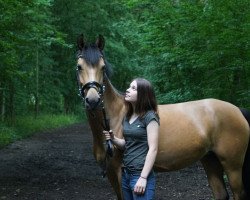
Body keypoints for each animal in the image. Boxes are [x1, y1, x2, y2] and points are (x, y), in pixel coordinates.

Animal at [75, 34, 249, 200]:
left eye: (103, 67)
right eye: (79, 67)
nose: (93, 100)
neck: (116, 116)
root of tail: (237, 110)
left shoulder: (118, 171)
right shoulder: (112, 173)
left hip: (233, 166)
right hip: (210, 160)